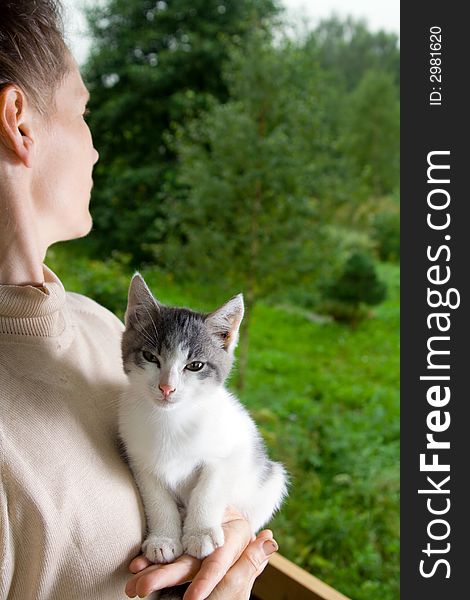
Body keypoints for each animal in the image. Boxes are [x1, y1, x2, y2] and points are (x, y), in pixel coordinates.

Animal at [118, 274, 286, 564]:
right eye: (150, 357)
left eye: (195, 365)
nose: (167, 388)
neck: (171, 420)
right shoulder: (139, 459)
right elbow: (156, 498)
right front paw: (163, 539)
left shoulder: (233, 451)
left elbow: (208, 490)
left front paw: (200, 533)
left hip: (271, 480)